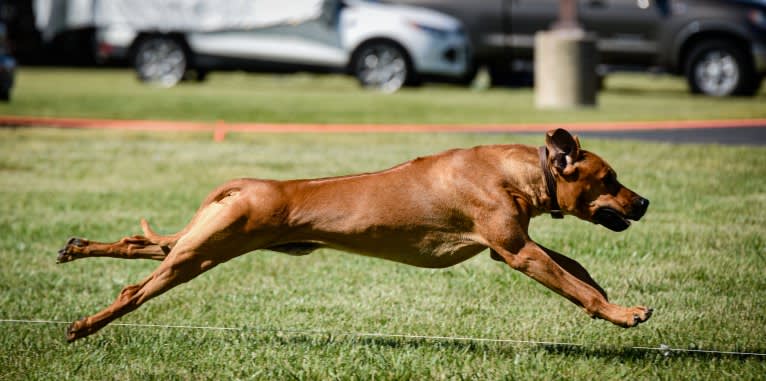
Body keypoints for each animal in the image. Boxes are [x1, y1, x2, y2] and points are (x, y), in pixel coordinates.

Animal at [58, 128, 656, 342]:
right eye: (611, 179)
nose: (645, 202)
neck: (519, 171)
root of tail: (249, 185)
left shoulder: (510, 244)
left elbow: (578, 272)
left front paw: (609, 298)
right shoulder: (516, 250)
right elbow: (569, 281)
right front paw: (620, 313)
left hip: (201, 240)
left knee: (144, 246)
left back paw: (79, 248)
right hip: (206, 251)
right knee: (134, 291)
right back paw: (86, 325)